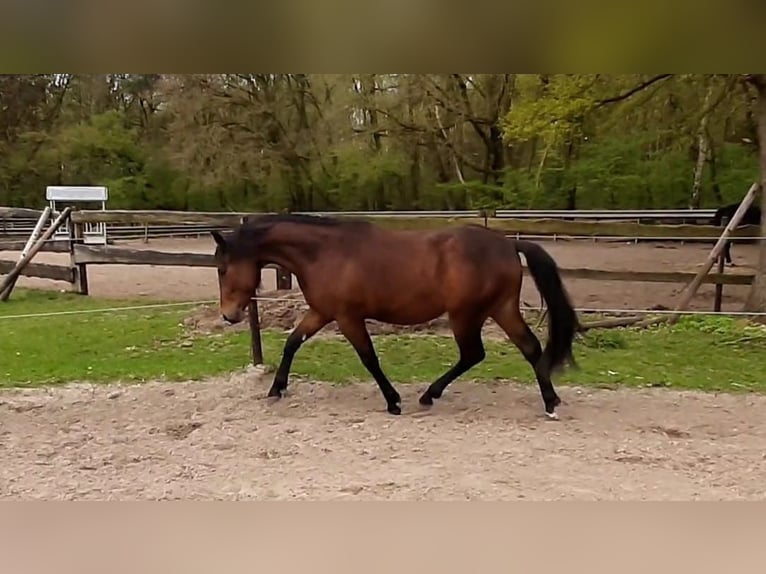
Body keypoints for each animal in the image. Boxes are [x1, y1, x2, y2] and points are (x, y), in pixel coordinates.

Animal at [211, 214, 580, 419]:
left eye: (223, 268)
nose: (229, 315)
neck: (323, 253)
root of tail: (507, 244)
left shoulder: (347, 317)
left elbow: (369, 358)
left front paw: (394, 402)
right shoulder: (322, 312)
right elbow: (292, 342)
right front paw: (276, 389)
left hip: (466, 315)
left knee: (473, 354)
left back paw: (429, 395)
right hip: (500, 309)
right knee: (529, 348)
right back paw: (550, 402)